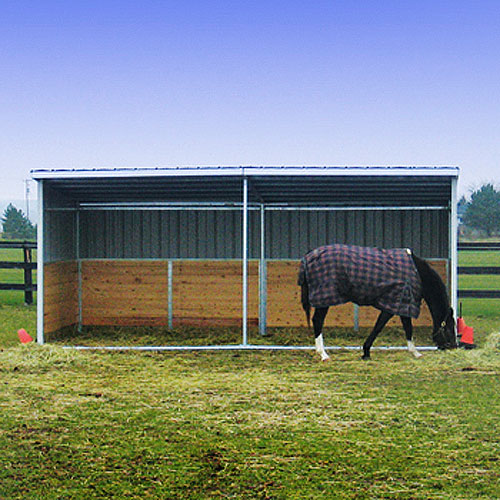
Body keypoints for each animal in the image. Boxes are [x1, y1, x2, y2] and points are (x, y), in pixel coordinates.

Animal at [296, 244, 458, 362]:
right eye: (449, 327)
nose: (453, 347)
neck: (417, 273)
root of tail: (309, 256)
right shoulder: (396, 304)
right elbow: (383, 327)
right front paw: (367, 352)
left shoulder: (399, 303)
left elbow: (400, 327)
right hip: (324, 300)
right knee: (318, 321)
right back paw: (323, 354)